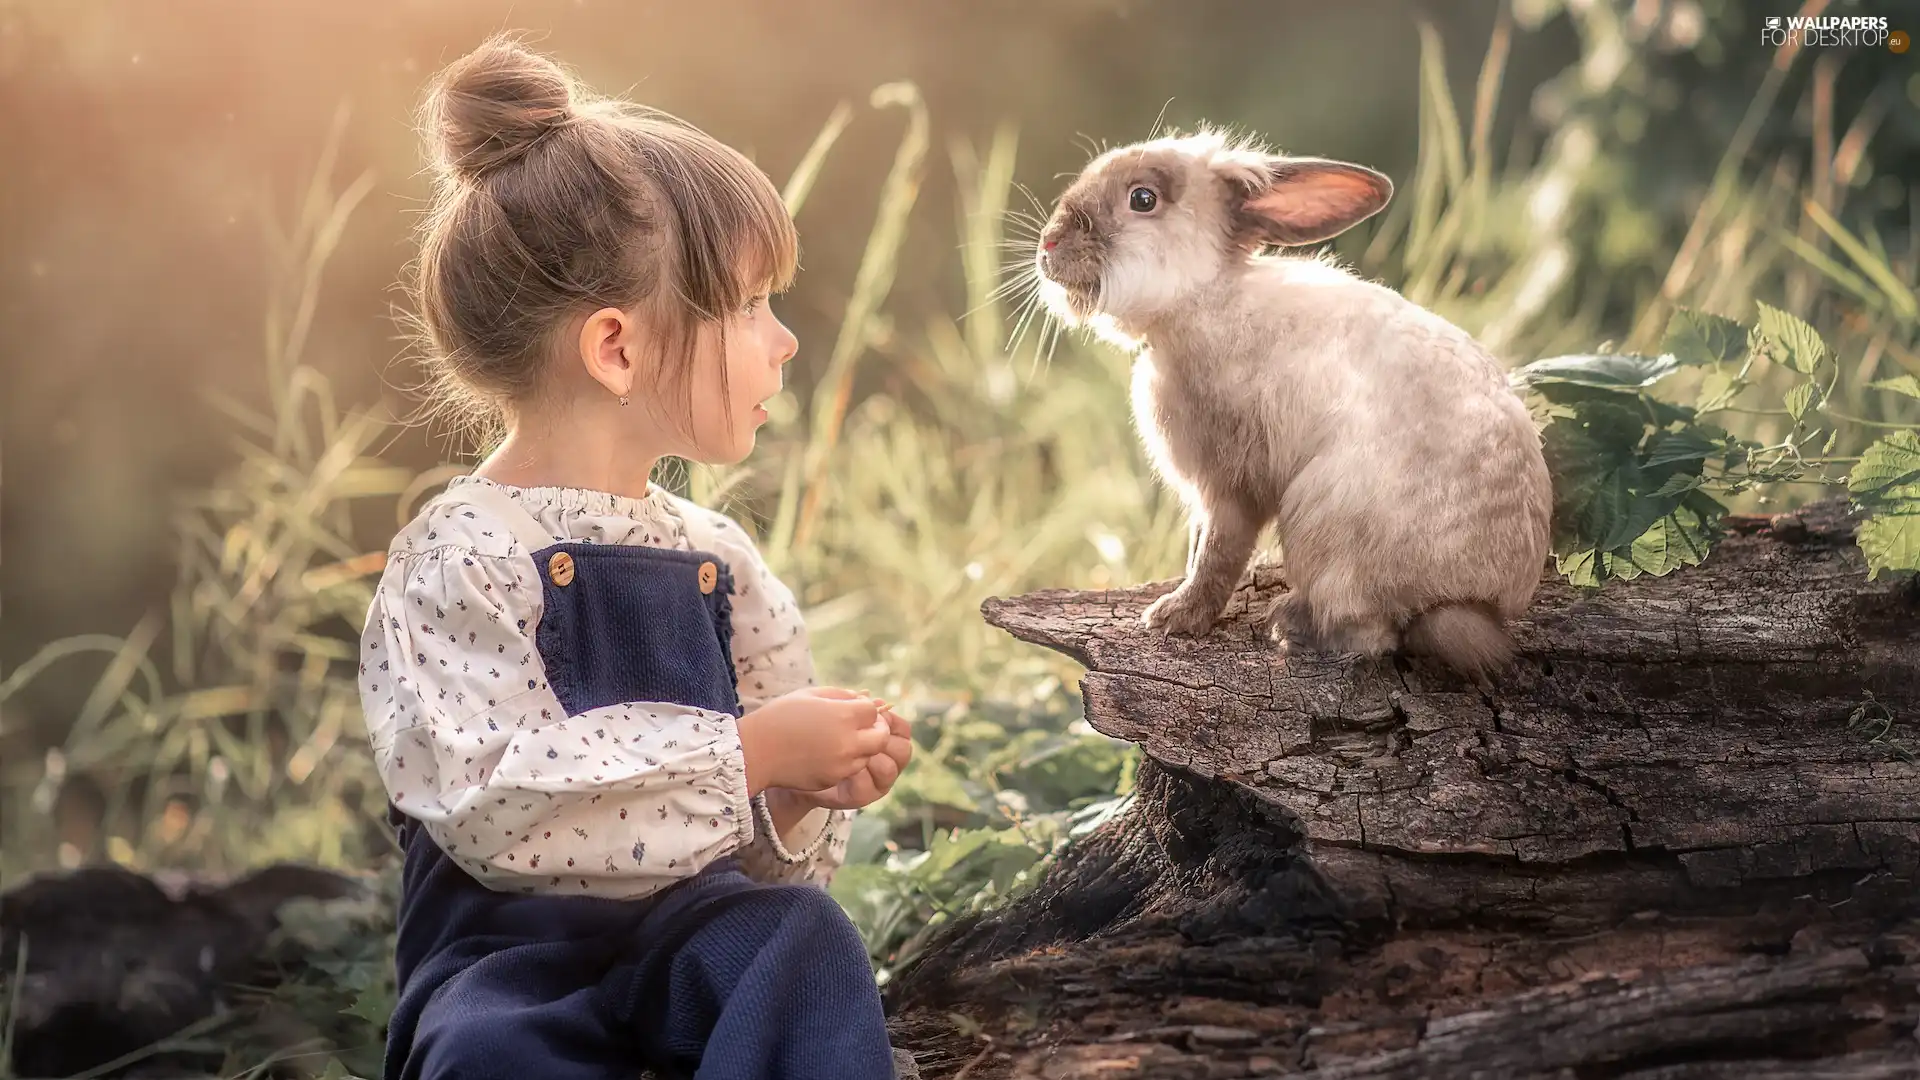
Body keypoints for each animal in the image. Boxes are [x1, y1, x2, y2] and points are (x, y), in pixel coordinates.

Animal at [1029, 127, 1551, 680]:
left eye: (1143, 199)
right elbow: (1197, 547)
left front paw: (1172, 617)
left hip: (1321, 524)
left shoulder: (1230, 487)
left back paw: (1288, 625)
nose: (1048, 244)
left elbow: (1217, 554)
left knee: (1372, 634)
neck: (1200, 300)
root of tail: (1470, 603)